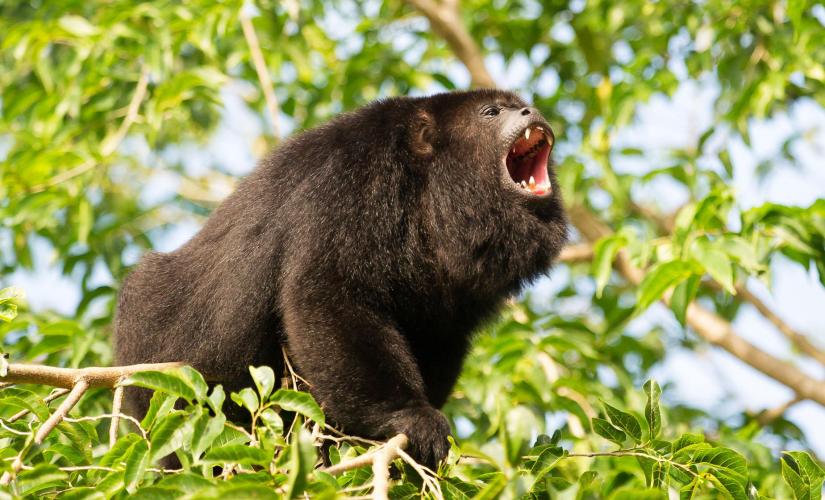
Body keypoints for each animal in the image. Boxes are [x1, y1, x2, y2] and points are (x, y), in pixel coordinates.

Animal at [115, 89, 567, 468]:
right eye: (491, 112)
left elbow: (439, 335)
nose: (530, 111)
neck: (429, 186)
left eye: (519, 105)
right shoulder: (352, 183)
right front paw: (408, 416)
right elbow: (327, 294)